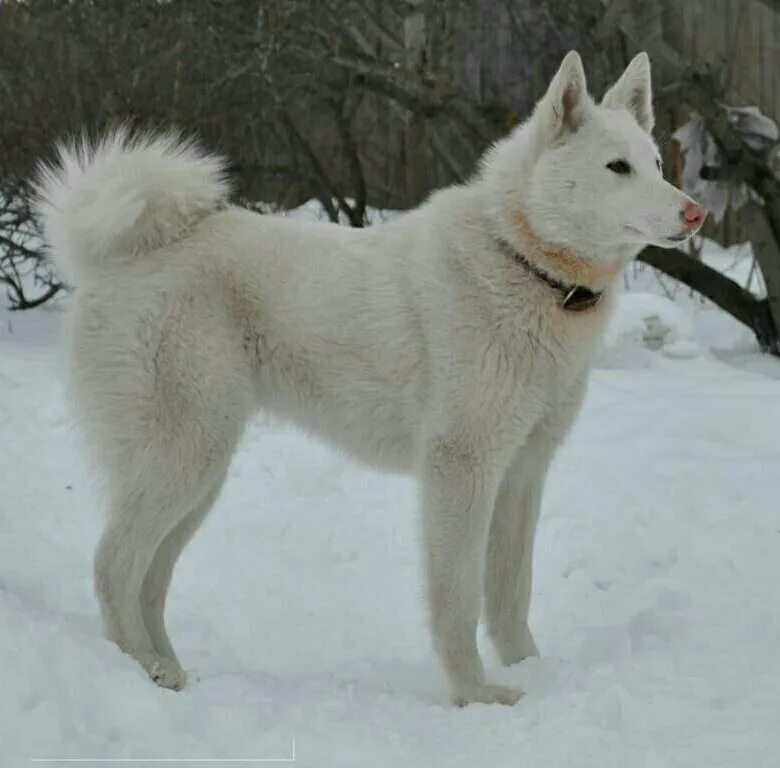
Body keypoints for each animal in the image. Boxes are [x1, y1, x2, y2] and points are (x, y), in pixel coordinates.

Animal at [35, 51, 708, 704]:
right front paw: (475, 695)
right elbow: (459, 599)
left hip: (200, 474)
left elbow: (511, 595)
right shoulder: (460, 468)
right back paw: (137, 671)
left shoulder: (521, 474)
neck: (523, 262)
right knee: (113, 566)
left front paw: (532, 674)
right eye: (617, 167)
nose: (695, 212)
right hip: (185, 458)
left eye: (656, 163)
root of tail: (111, 256)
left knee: (149, 580)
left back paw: (169, 674)